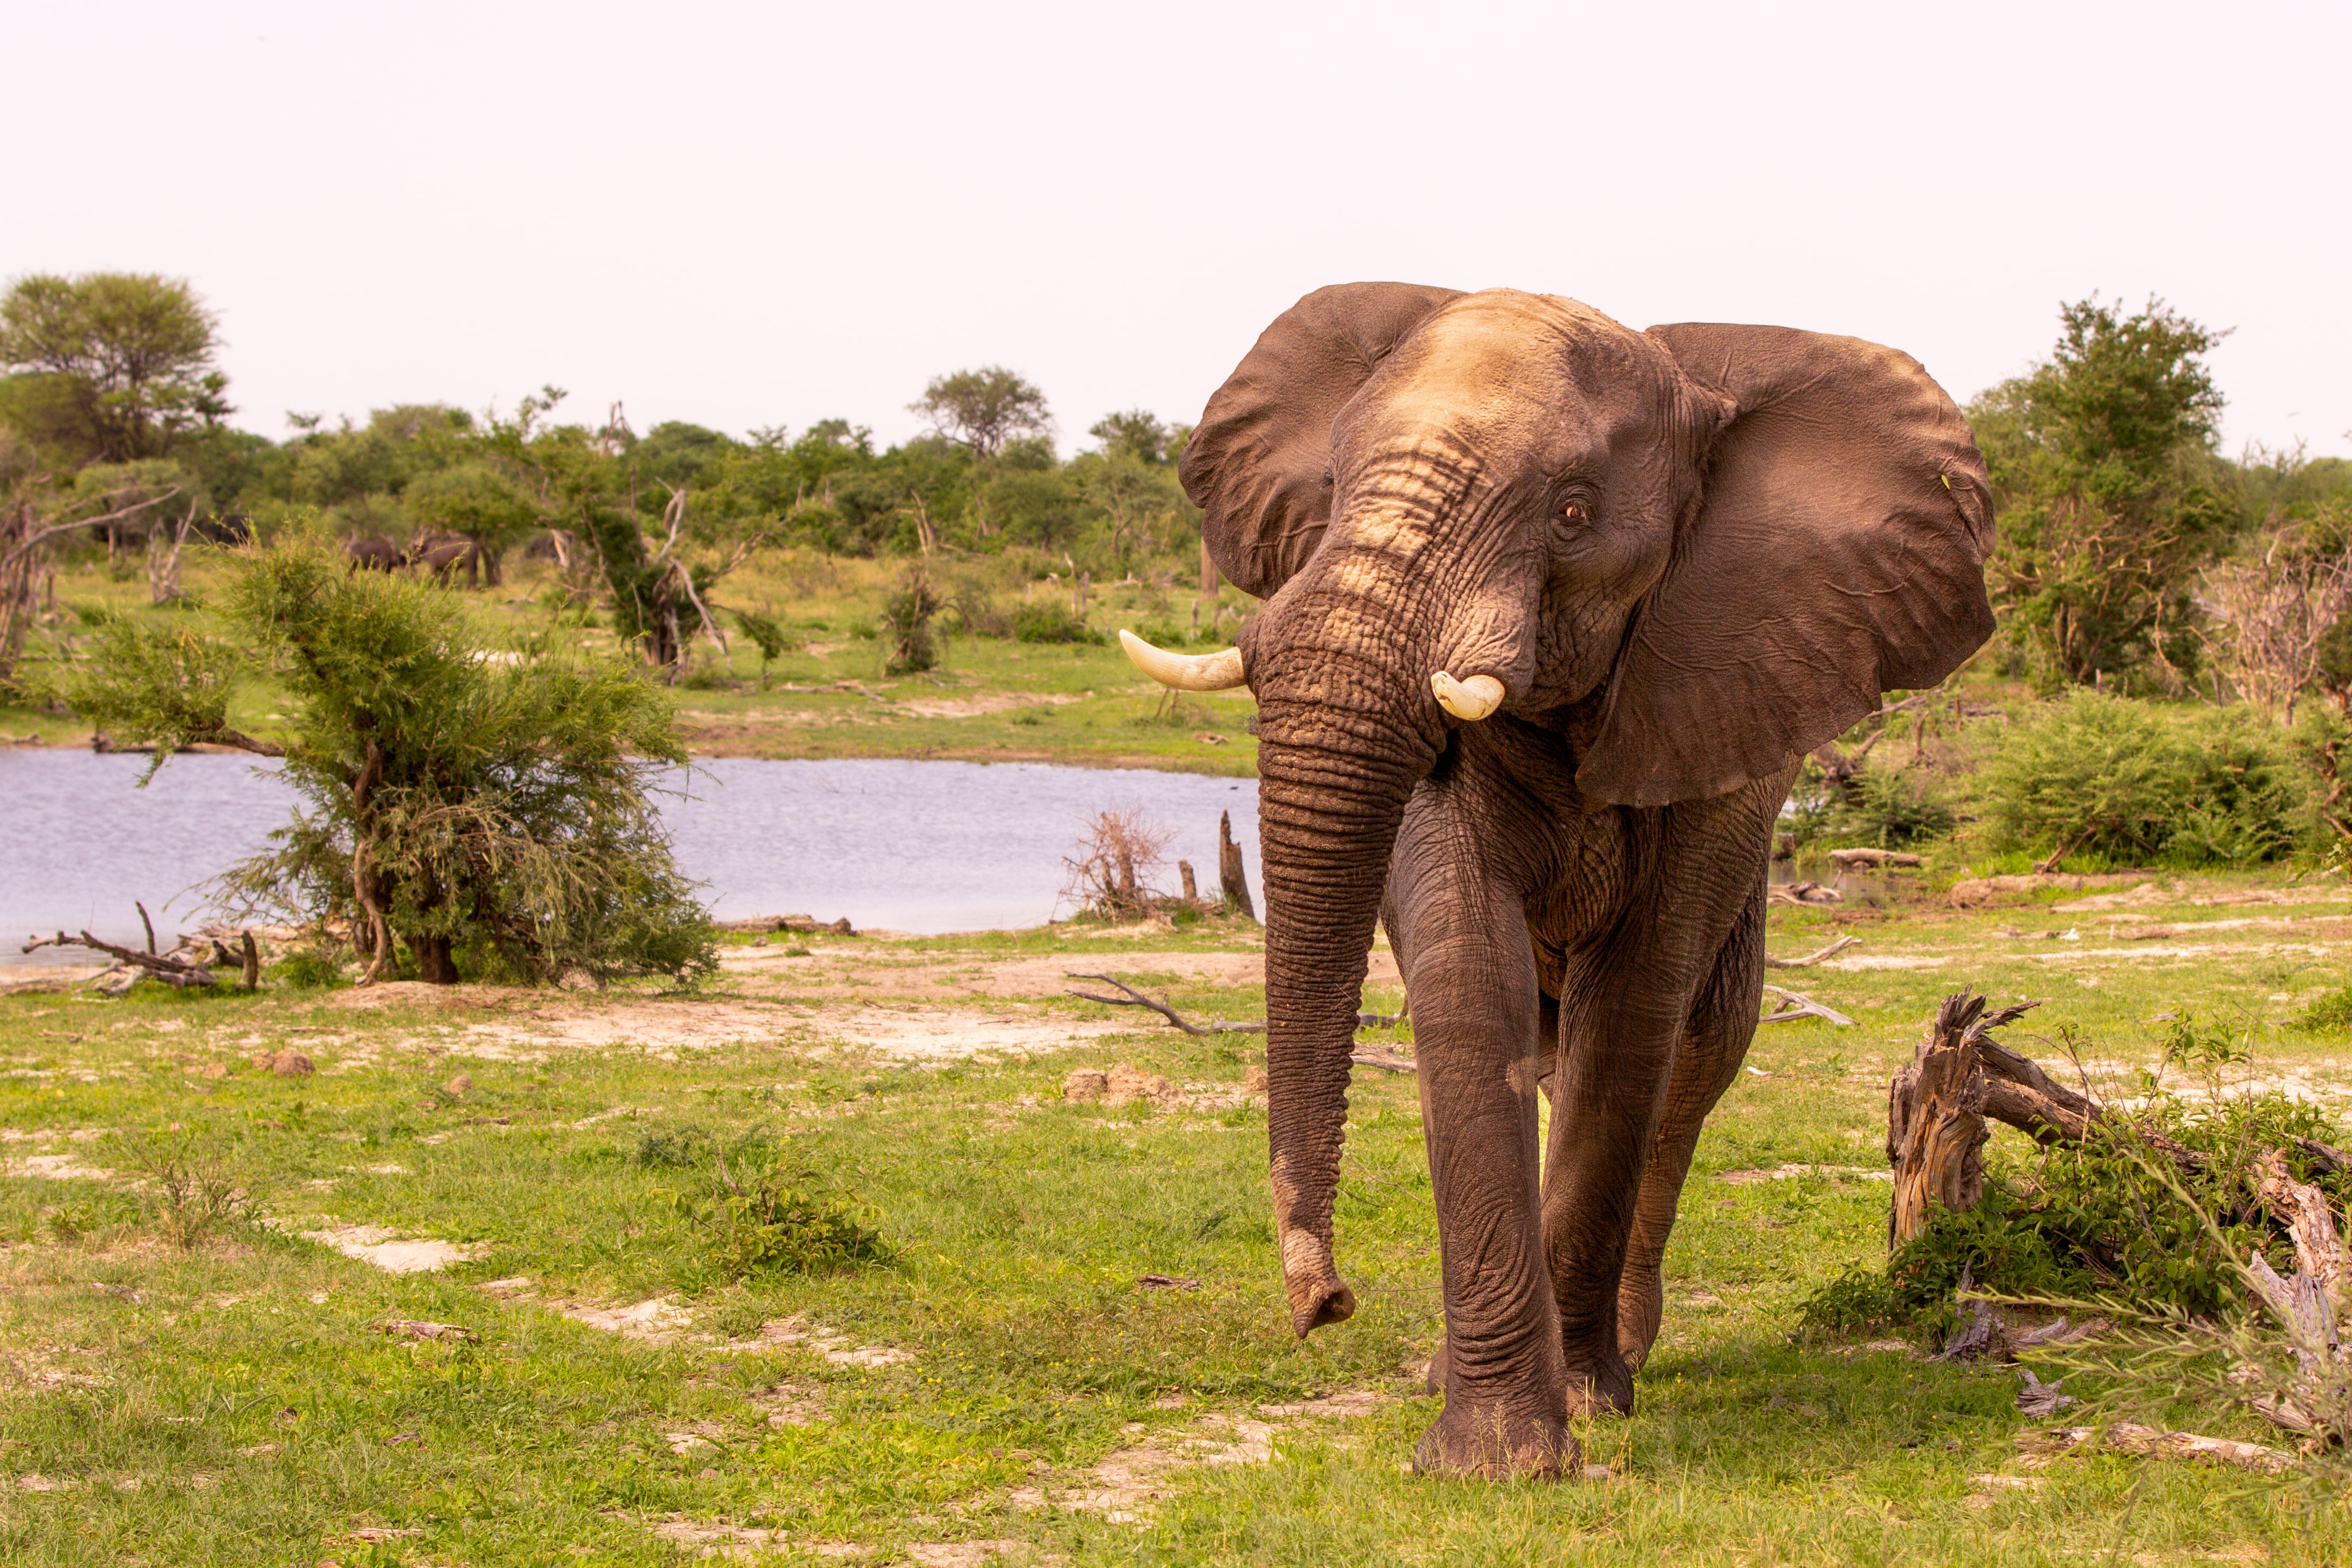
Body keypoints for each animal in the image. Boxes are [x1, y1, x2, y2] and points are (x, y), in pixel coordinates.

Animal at [1118, 284, 1994, 1480]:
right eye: (1334, 486)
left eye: (1573, 513)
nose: (1326, 1302)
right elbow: (1463, 973)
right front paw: (1490, 1454)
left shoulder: (1713, 687)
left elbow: (1629, 1011)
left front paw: (1565, 1409)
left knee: (1694, 1053)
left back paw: (1624, 1350)